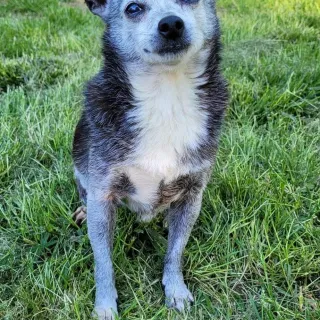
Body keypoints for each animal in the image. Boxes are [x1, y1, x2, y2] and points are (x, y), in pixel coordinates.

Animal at [72, 0, 228, 318]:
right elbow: (103, 262)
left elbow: (176, 251)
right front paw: (105, 305)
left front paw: (176, 289)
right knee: (83, 191)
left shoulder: (193, 193)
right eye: (133, 8)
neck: (166, 97)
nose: (171, 24)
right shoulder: (103, 195)